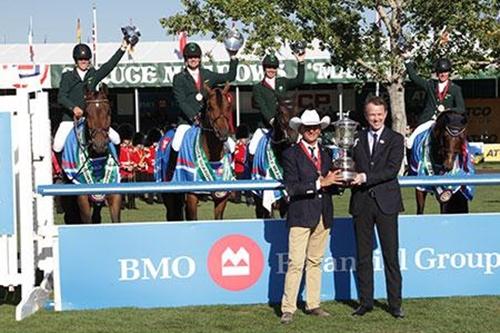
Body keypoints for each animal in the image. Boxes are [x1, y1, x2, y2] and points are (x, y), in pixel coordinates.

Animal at [60, 84, 122, 222]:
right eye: (87, 113)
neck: (97, 158)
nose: (99, 145)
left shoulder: (114, 193)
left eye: (108, 111)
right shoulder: (82, 199)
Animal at [155, 82, 235, 220]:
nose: (223, 134)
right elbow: (193, 218)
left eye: (228, 106)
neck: (212, 155)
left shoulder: (222, 197)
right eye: (210, 107)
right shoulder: (192, 195)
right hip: (168, 194)